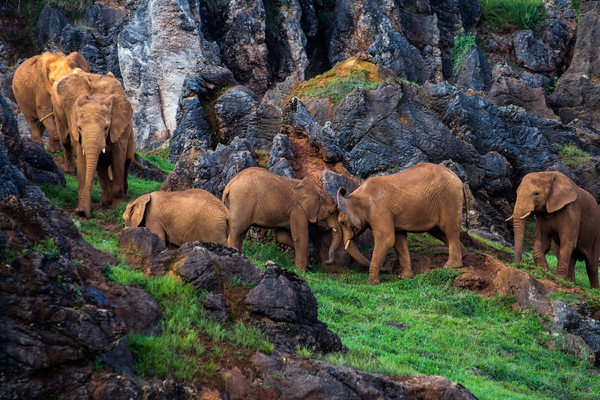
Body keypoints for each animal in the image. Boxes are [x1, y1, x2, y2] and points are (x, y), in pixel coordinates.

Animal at [51, 70, 135, 217]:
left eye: (106, 128)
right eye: (79, 128)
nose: (88, 214)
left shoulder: (118, 131)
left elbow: (118, 159)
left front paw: (118, 207)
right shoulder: (77, 131)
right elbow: (82, 161)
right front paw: (80, 211)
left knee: (126, 162)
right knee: (100, 166)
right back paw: (104, 201)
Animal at [336, 162, 466, 284]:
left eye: (342, 222)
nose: (386, 270)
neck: (354, 195)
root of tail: (457, 178)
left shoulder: (379, 210)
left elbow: (386, 240)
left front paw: (371, 283)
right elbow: (398, 240)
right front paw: (405, 277)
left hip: (449, 197)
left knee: (449, 229)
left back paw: (451, 266)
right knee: (437, 231)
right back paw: (463, 255)